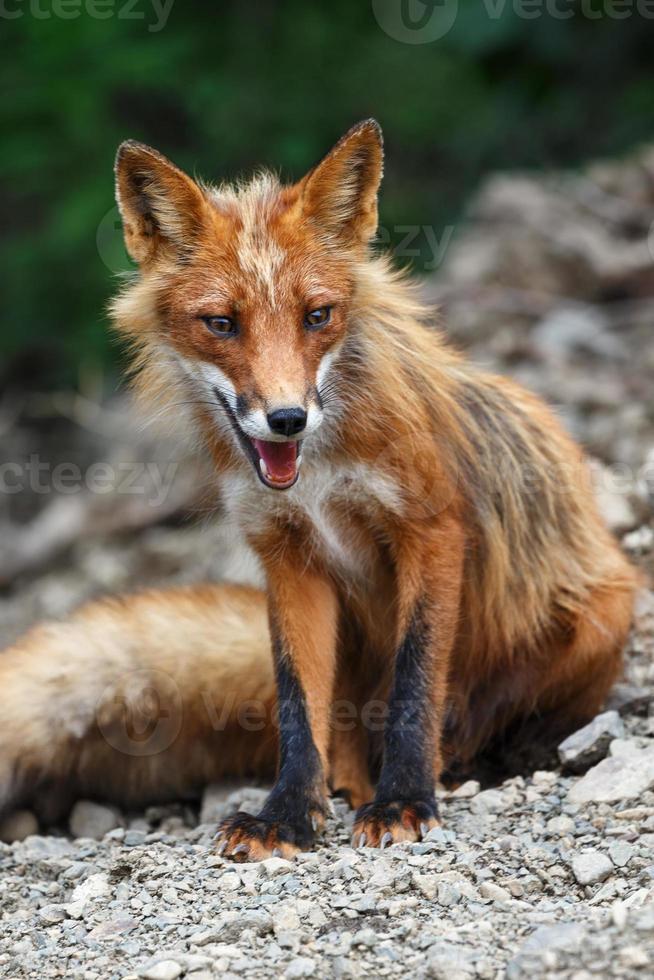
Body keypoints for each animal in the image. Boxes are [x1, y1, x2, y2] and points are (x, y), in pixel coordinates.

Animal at [0, 120, 640, 856]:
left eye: (317, 315)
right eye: (222, 323)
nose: (286, 418)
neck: (319, 478)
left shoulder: (431, 531)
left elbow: (415, 680)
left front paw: (405, 799)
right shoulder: (286, 556)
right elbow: (298, 701)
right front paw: (289, 813)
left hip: (601, 615)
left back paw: (490, 759)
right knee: (344, 728)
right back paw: (352, 787)